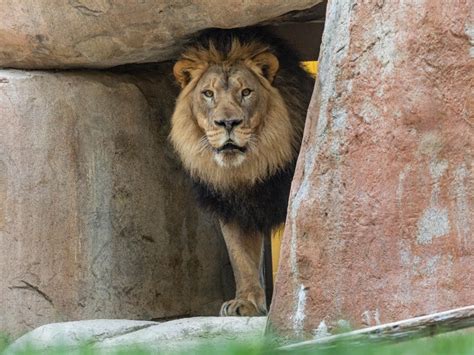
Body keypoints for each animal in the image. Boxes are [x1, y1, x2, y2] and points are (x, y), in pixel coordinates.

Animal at [170, 28, 314, 318]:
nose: (228, 123)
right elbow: (241, 258)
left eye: (246, 92)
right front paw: (245, 303)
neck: (246, 170)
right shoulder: (232, 208)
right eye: (208, 93)